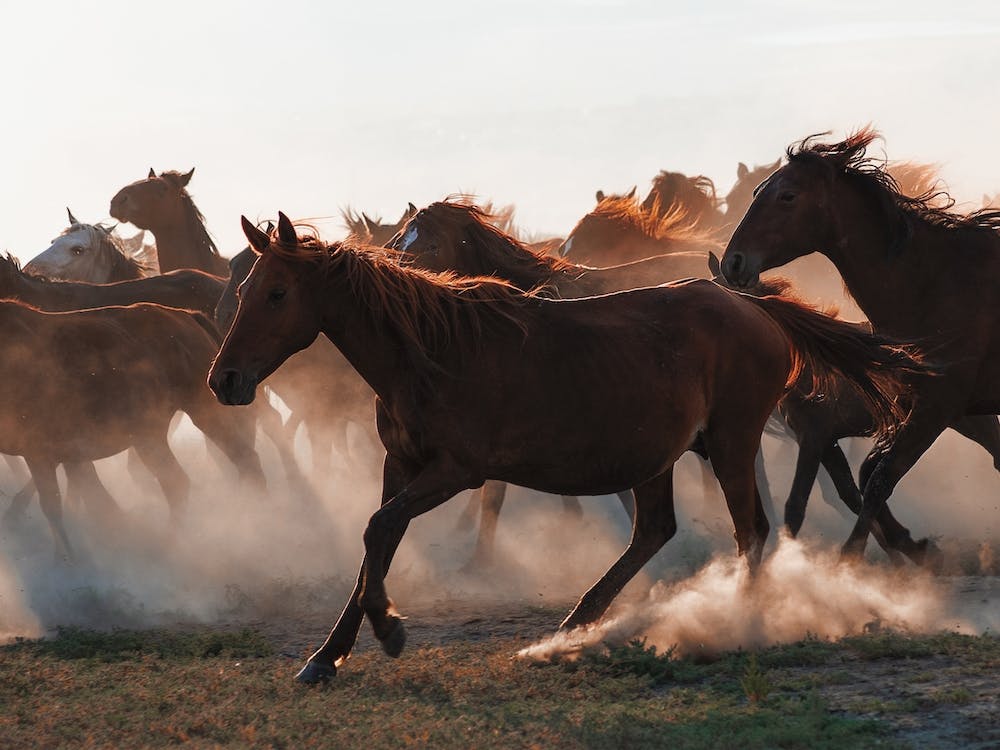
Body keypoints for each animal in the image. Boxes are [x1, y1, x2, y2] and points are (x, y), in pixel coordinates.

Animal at [1, 300, 266, 559]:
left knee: (236, 463)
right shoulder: (60, 453)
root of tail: (188, 317)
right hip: (148, 436)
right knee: (181, 480)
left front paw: (67, 556)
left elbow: (53, 506)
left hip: (201, 413)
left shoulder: (39, 452)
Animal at [209, 212, 924, 683]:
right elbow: (374, 541)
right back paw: (575, 626)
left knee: (750, 530)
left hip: (729, 443)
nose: (225, 380)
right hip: (659, 455)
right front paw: (326, 656)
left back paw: (736, 624)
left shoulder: (456, 472)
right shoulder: (400, 465)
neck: (433, 352)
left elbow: (381, 531)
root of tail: (752, 307)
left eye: (277, 293)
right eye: (245, 290)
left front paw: (388, 629)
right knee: (656, 530)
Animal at [721, 127, 1000, 562]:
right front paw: (909, 547)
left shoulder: (939, 405)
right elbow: (869, 477)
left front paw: (851, 559)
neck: (935, 282)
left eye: (788, 196)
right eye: (756, 193)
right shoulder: (924, 407)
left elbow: (880, 478)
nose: (733, 262)